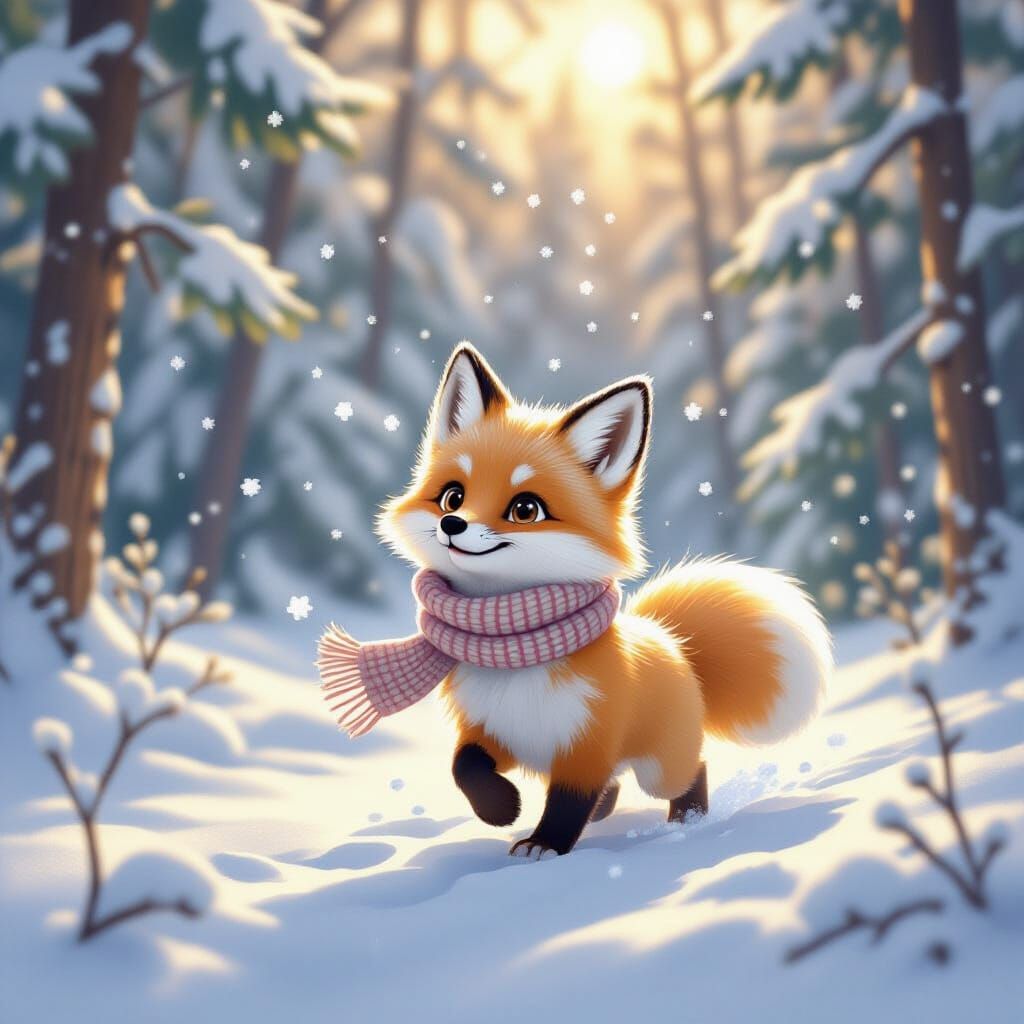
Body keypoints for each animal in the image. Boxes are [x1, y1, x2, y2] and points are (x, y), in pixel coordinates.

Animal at [375, 342, 833, 858]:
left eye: (525, 509)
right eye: (452, 497)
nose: (452, 525)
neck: (516, 651)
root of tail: (676, 644)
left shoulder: (587, 746)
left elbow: (568, 804)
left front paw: (544, 846)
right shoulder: (493, 729)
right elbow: (465, 767)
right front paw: (501, 809)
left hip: (659, 768)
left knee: (691, 771)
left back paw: (687, 822)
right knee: (614, 788)